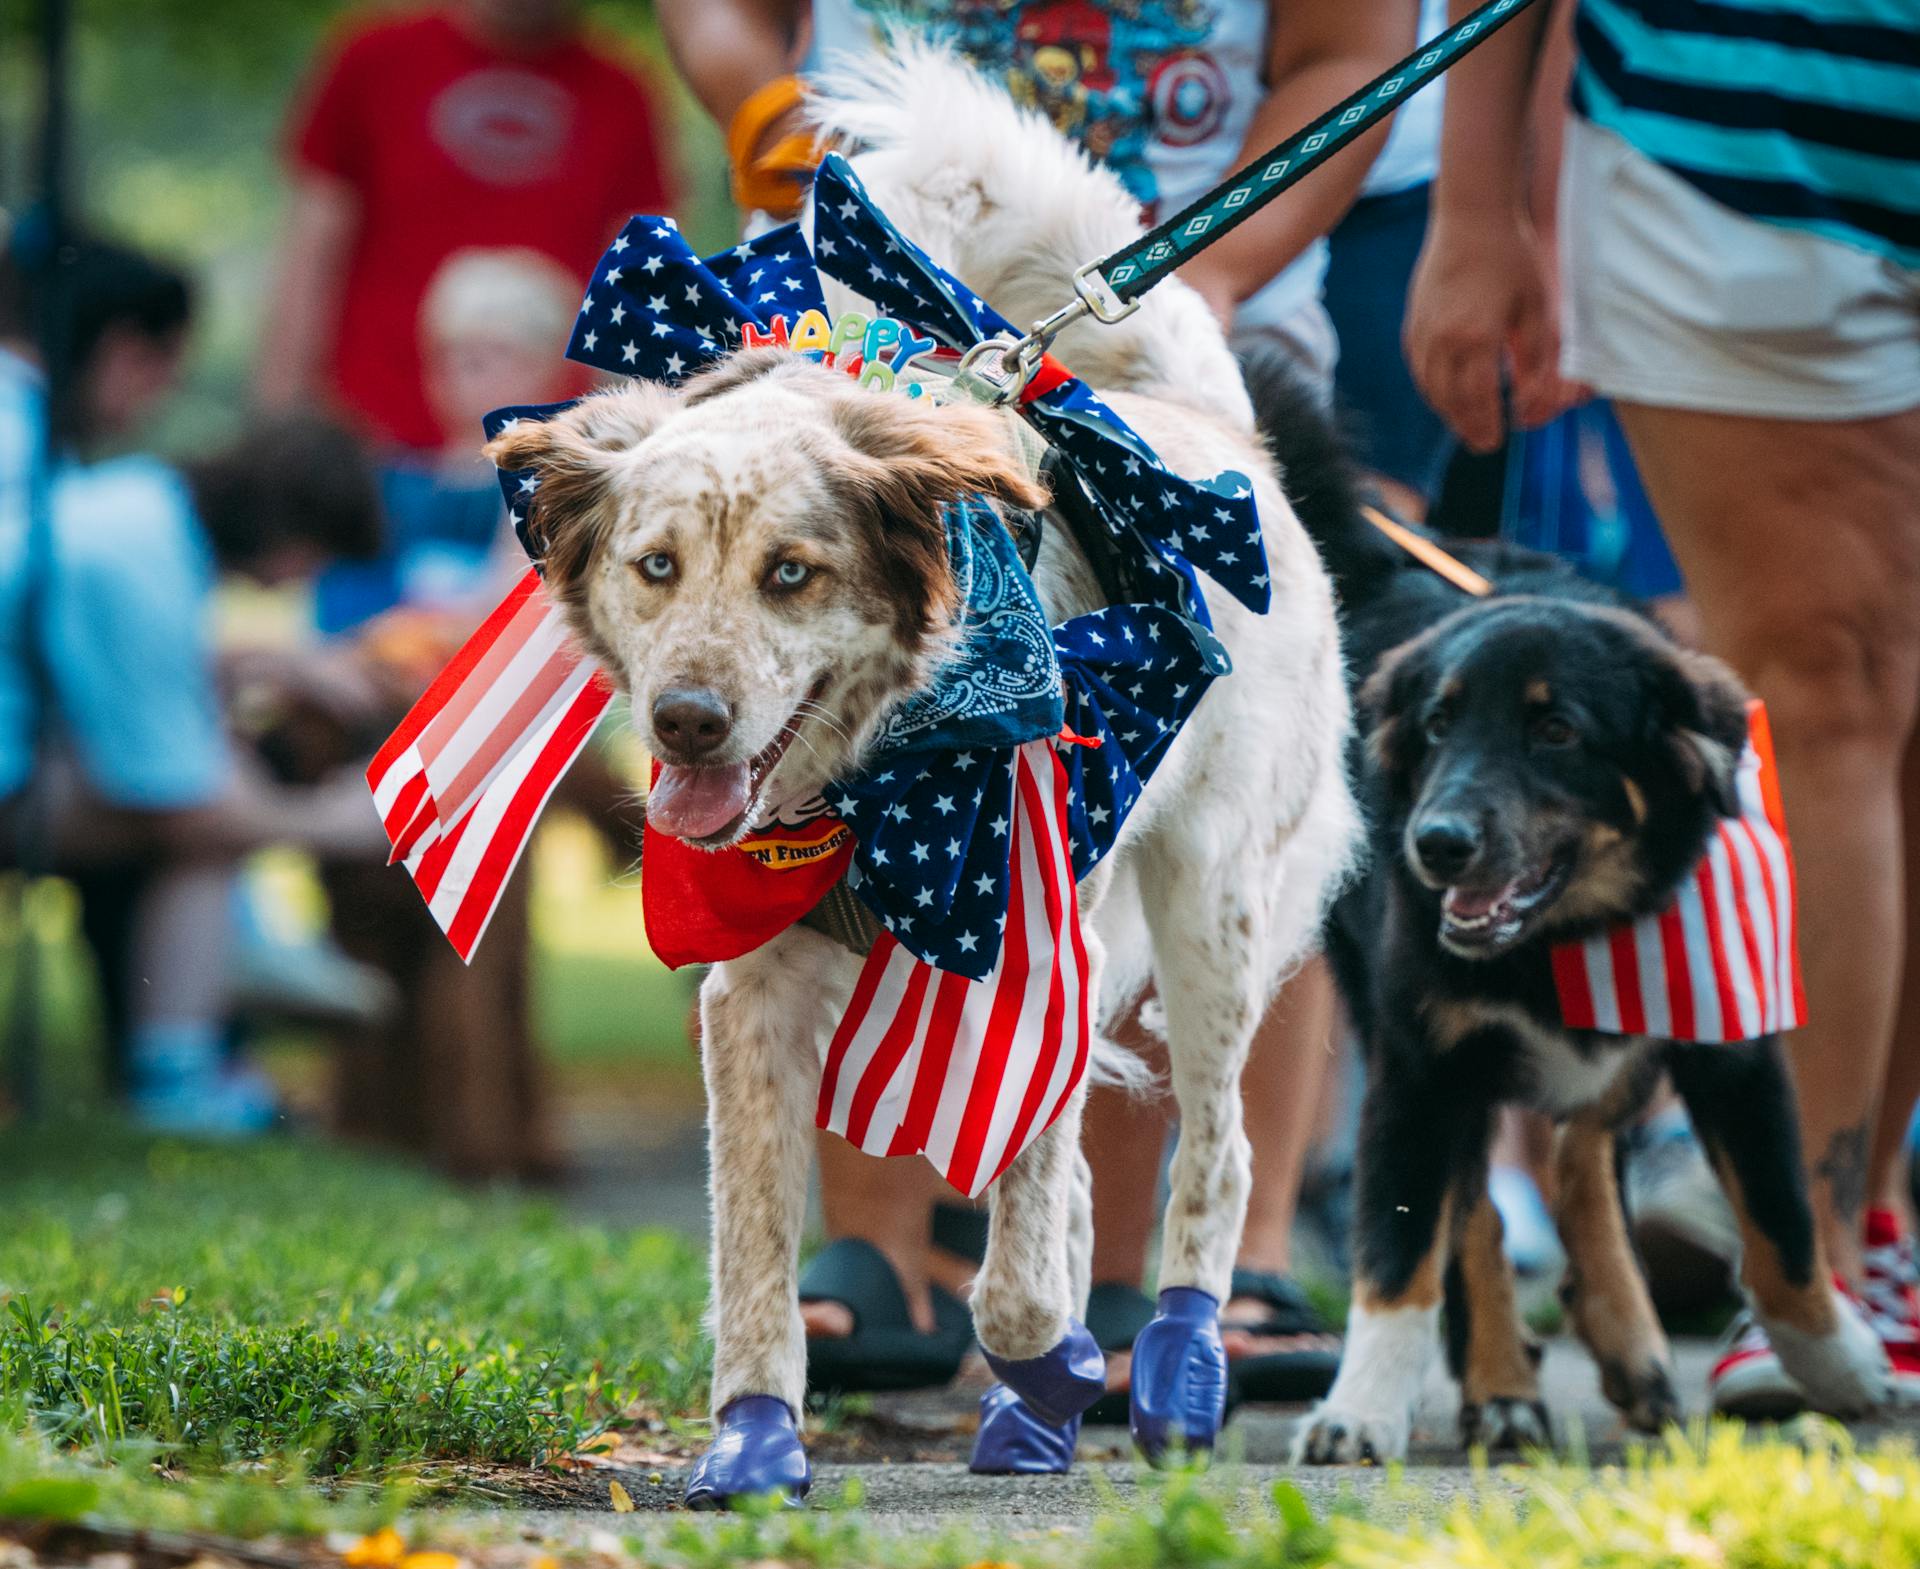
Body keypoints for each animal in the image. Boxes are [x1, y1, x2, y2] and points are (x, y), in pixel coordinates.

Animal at [491, 42, 1367, 1497]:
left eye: (794, 574)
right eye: (655, 565)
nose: (686, 722)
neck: (875, 784)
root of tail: (1195, 414)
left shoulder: (1033, 964)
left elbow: (1014, 1276)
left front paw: (1055, 1362)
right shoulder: (748, 992)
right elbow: (755, 1256)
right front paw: (754, 1443)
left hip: (1213, 910)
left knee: (1218, 1160)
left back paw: (1177, 1372)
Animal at [1244, 351, 1889, 1459]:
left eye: (1557, 731)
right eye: (1438, 725)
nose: (1434, 844)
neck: (1568, 935)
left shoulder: (1733, 1041)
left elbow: (1782, 1234)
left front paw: (1839, 1363)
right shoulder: (1418, 1062)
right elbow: (1404, 1255)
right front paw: (1360, 1408)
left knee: (1583, 1143)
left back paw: (1626, 1336)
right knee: (1484, 1204)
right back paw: (1504, 1384)